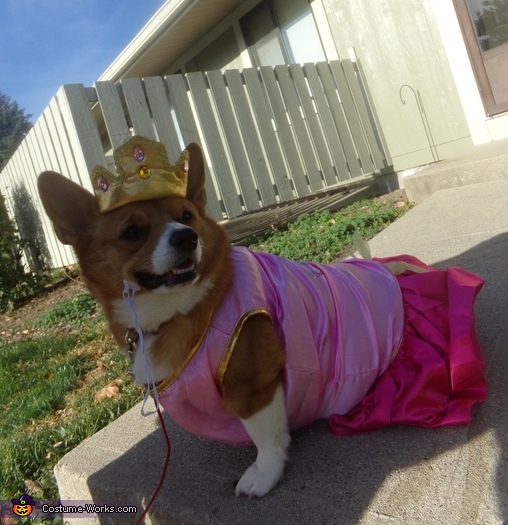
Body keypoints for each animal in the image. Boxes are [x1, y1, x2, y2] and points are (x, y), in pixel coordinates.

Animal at [38, 134, 484, 496]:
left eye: (186, 216)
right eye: (132, 231)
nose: (187, 237)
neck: (187, 307)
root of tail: (388, 273)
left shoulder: (250, 384)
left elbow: (266, 437)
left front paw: (263, 474)